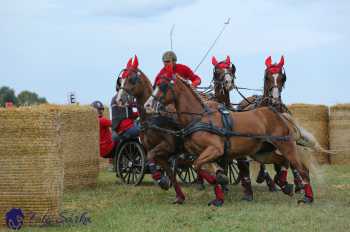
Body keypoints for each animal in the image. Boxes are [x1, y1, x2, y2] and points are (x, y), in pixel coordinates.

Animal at [145, 66, 314, 206]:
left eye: (163, 86)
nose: (147, 105)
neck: (199, 117)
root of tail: (277, 113)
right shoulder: (199, 154)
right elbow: (199, 168)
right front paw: (218, 197)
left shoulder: (215, 149)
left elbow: (198, 166)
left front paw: (221, 181)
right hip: (262, 153)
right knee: (283, 161)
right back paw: (285, 185)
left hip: (286, 145)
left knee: (301, 168)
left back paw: (307, 197)